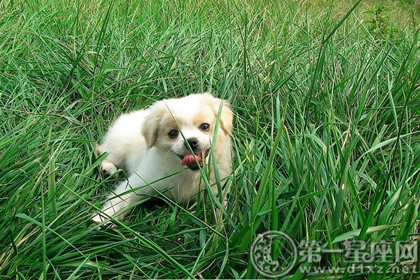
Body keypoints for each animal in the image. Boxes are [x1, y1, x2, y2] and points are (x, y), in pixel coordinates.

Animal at [92, 93, 235, 222]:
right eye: (172, 133)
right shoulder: (141, 181)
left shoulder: (216, 188)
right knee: (103, 153)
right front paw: (100, 220)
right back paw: (108, 168)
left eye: (205, 126)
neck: (189, 173)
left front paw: (222, 225)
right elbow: (120, 200)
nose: (191, 141)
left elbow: (219, 206)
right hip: (118, 147)